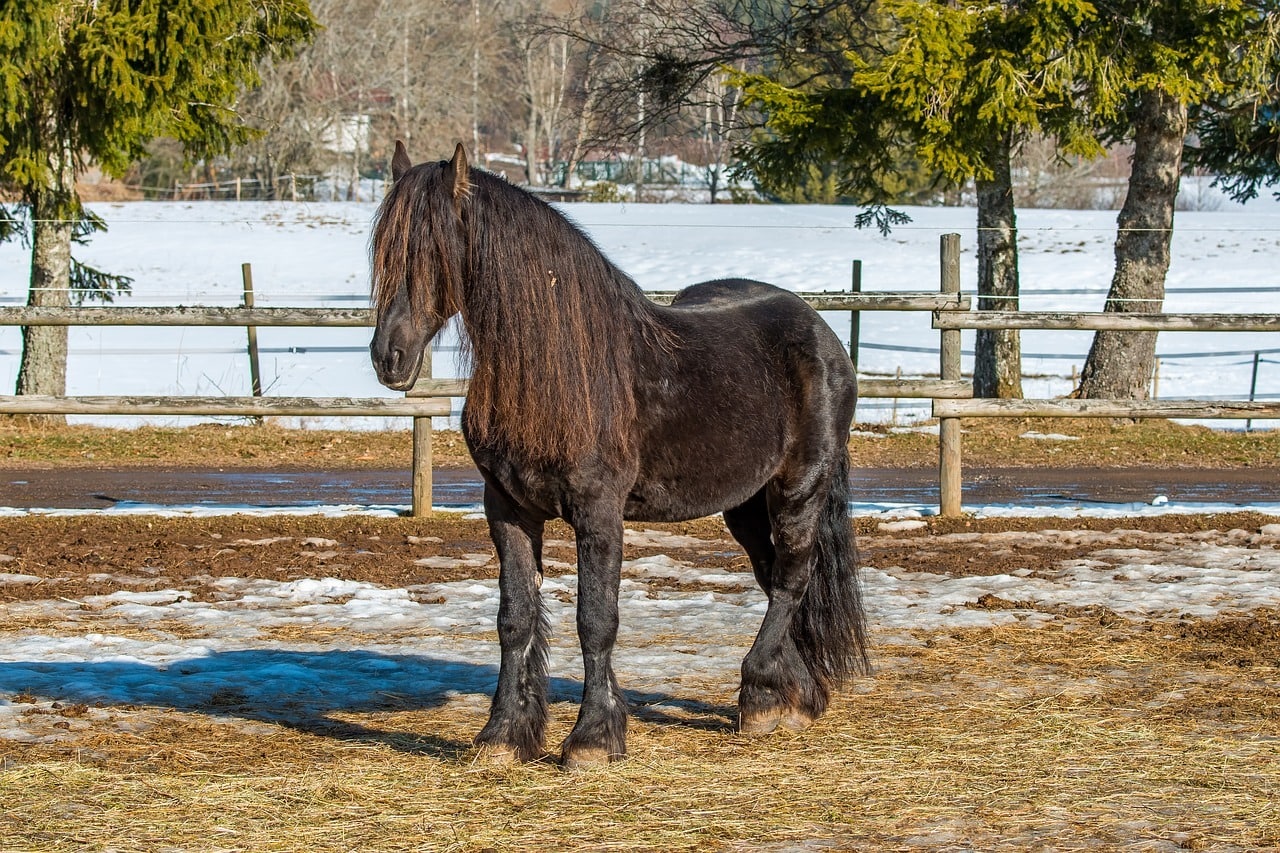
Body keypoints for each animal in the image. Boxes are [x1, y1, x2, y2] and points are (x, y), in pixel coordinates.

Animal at [369, 142, 868, 769]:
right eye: (383, 251)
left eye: (434, 248)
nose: (388, 356)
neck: (558, 370)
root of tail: (819, 330)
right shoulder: (507, 509)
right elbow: (515, 618)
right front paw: (502, 735)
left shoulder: (599, 512)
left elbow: (596, 620)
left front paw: (592, 737)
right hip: (745, 505)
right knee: (773, 576)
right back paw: (795, 697)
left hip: (799, 487)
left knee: (790, 581)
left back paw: (758, 696)